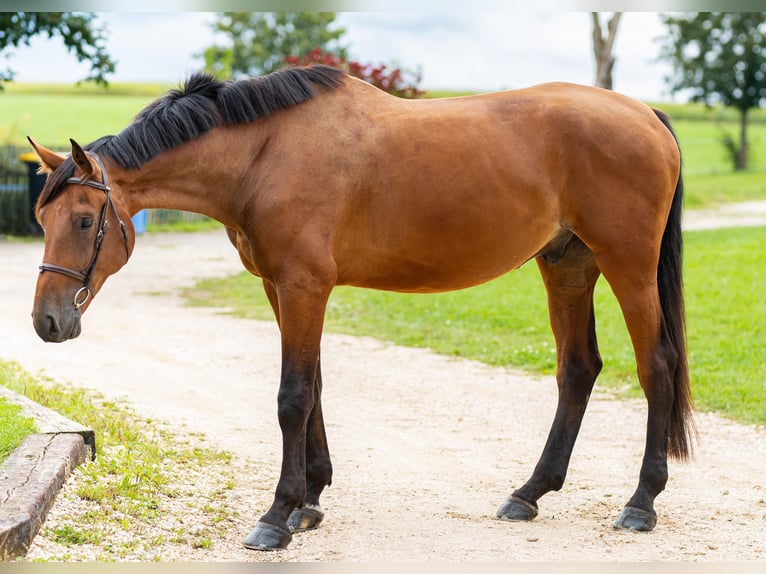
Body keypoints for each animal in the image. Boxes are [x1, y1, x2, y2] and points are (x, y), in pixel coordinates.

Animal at [27, 65, 696, 556]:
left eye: (84, 221)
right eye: (40, 217)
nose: (47, 322)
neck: (264, 154)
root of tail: (646, 115)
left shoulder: (304, 286)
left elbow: (292, 396)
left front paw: (277, 515)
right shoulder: (281, 289)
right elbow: (315, 388)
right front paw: (310, 501)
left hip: (627, 266)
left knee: (656, 367)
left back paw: (640, 503)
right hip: (566, 265)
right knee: (578, 369)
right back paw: (530, 492)